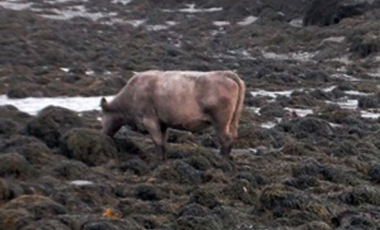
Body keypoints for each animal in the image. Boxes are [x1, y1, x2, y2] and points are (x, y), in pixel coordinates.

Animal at [99, 69, 245, 164]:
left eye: (103, 115)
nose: (104, 134)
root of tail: (225, 73)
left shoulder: (149, 120)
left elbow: (157, 141)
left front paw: (157, 161)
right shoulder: (162, 123)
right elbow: (163, 142)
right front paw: (164, 160)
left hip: (221, 121)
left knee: (226, 139)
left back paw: (222, 161)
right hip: (232, 121)